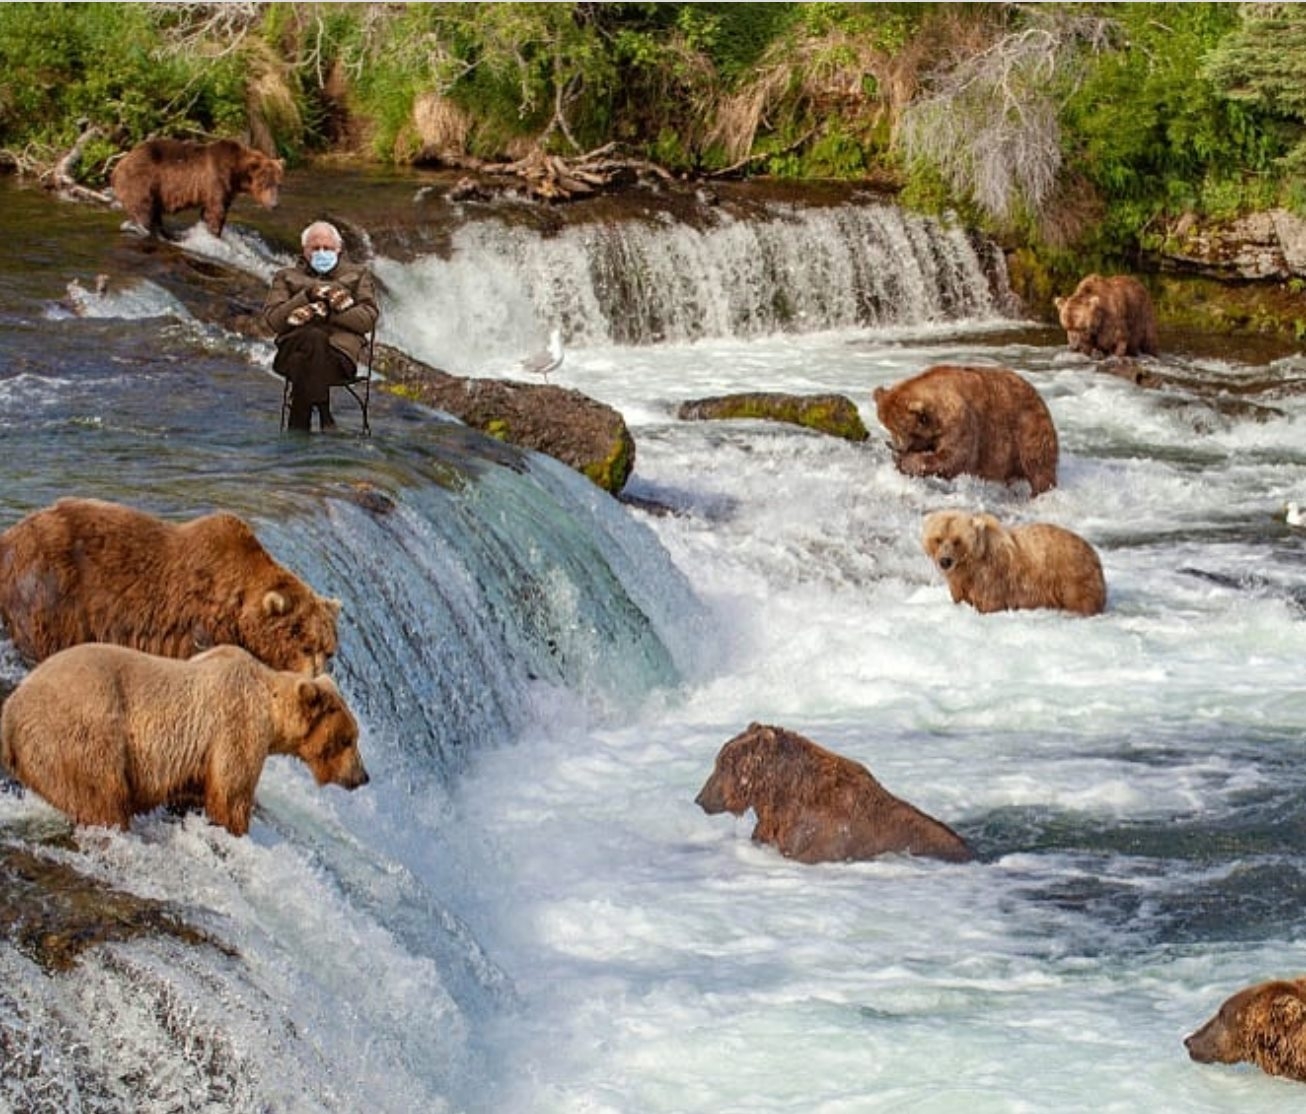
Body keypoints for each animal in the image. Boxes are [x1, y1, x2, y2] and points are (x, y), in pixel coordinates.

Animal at [0, 497, 339, 675]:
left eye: (328, 650)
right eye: (306, 646)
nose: (318, 676)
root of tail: (9, 537)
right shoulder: (195, 625)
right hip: (50, 589)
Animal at [0, 642, 368, 836]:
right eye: (348, 739)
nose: (362, 776)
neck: (270, 707)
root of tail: (9, 711)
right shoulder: (235, 726)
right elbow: (231, 794)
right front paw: (234, 828)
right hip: (81, 733)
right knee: (102, 796)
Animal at [110, 137, 283, 239]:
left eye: (278, 184)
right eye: (266, 183)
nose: (275, 204)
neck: (236, 173)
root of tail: (118, 165)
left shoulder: (225, 190)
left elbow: (210, 210)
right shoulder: (216, 179)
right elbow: (215, 211)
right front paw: (215, 234)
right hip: (142, 181)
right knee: (143, 209)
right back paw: (140, 228)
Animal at [873, 365, 1059, 496]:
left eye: (900, 429)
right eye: (888, 427)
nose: (896, 446)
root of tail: (1039, 397)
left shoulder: (961, 420)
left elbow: (955, 458)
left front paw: (906, 462)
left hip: (1027, 428)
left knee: (1038, 467)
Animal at [922, 509, 1107, 616]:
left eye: (957, 540)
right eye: (938, 539)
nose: (945, 561)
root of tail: (1092, 550)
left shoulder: (992, 577)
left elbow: (990, 603)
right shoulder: (961, 582)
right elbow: (961, 597)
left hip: (1071, 575)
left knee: (1080, 599)